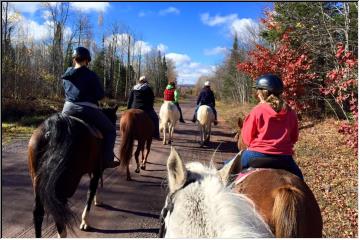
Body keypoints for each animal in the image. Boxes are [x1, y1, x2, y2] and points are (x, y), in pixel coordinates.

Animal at [28, 106, 118, 237]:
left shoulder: (93, 170)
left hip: (37, 180)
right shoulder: (96, 170)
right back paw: (63, 233)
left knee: (38, 212)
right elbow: (90, 192)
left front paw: (97, 201)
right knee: (58, 208)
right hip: (66, 183)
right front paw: (85, 221)